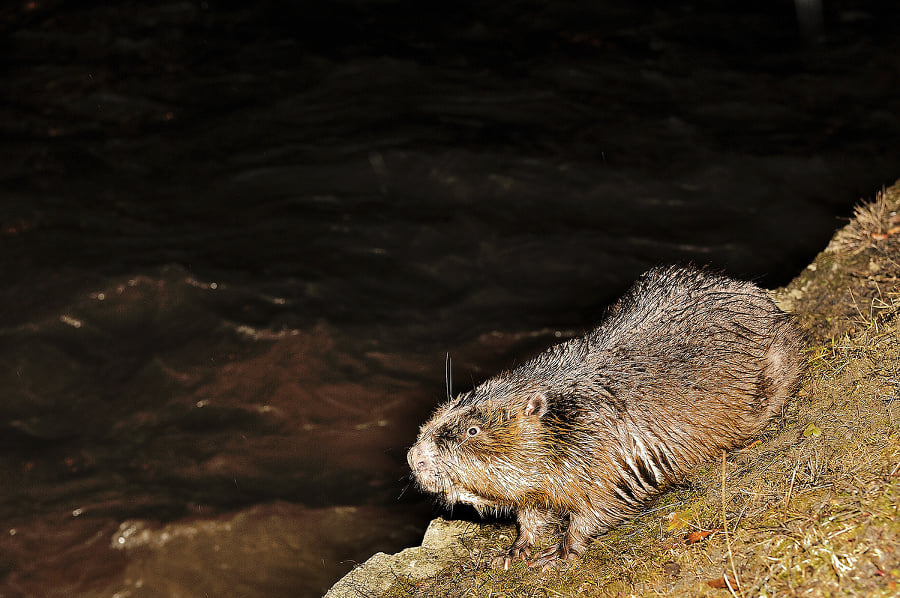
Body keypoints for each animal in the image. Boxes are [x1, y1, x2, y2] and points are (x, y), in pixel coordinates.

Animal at [406, 268, 800, 572]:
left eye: (472, 430)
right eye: (442, 411)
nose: (414, 457)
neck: (571, 410)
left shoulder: (609, 453)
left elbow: (599, 507)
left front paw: (557, 554)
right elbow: (530, 512)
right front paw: (514, 551)